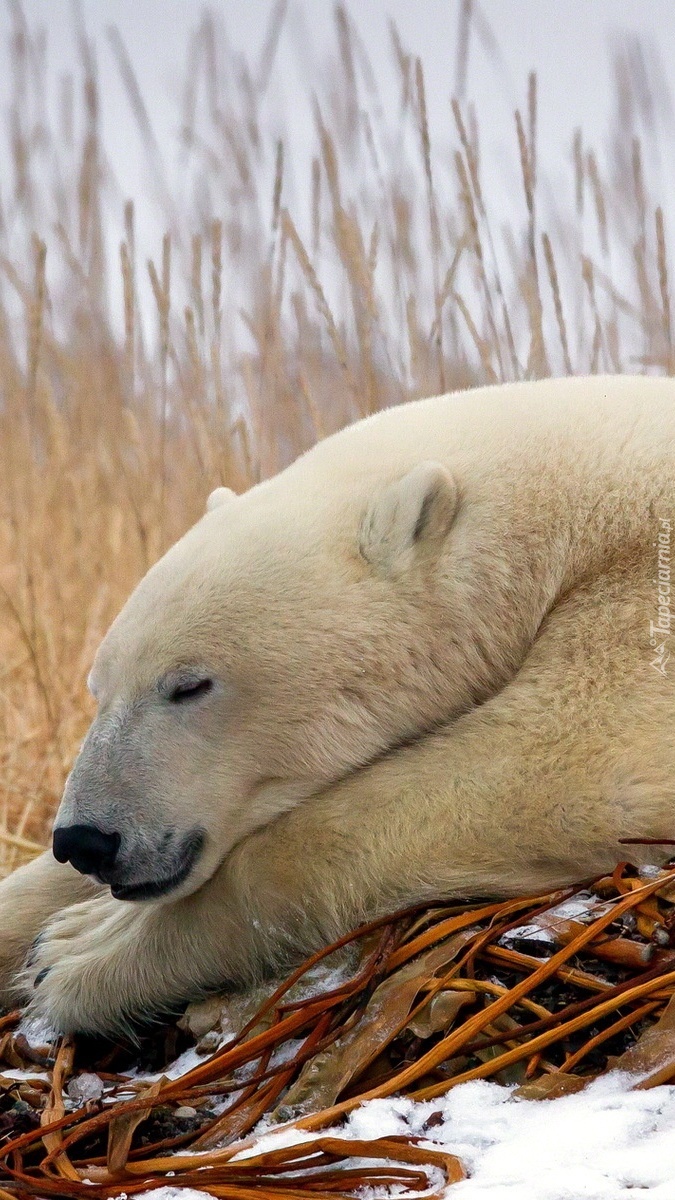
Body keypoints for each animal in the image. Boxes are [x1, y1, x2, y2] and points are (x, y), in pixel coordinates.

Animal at [0, 379, 667, 1036]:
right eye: (98, 688)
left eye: (189, 685)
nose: (85, 839)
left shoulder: (640, 602)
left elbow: (567, 772)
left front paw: (77, 952)